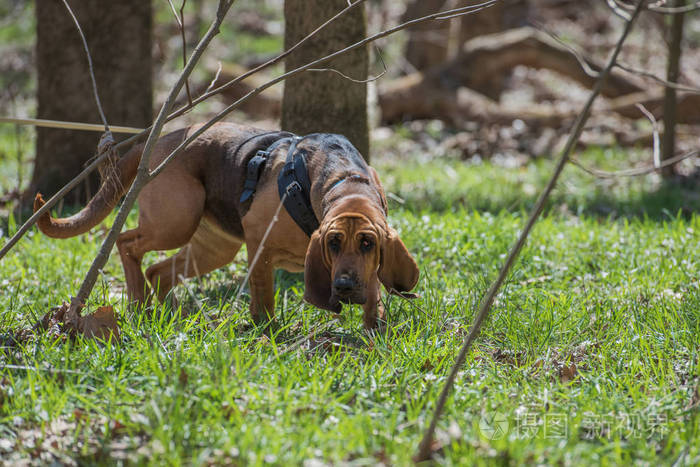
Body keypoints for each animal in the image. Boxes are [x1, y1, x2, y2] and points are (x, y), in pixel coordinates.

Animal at [35, 122, 418, 330]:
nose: (344, 286)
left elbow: (375, 298)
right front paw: (268, 331)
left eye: (368, 244)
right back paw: (138, 302)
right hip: (176, 222)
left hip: (214, 248)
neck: (344, 180)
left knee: (159, 271)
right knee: (127, 243)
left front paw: (374, 329)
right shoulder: (259, 247)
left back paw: (169, 313)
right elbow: (264, 298)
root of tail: (160, 140)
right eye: (333, 243)